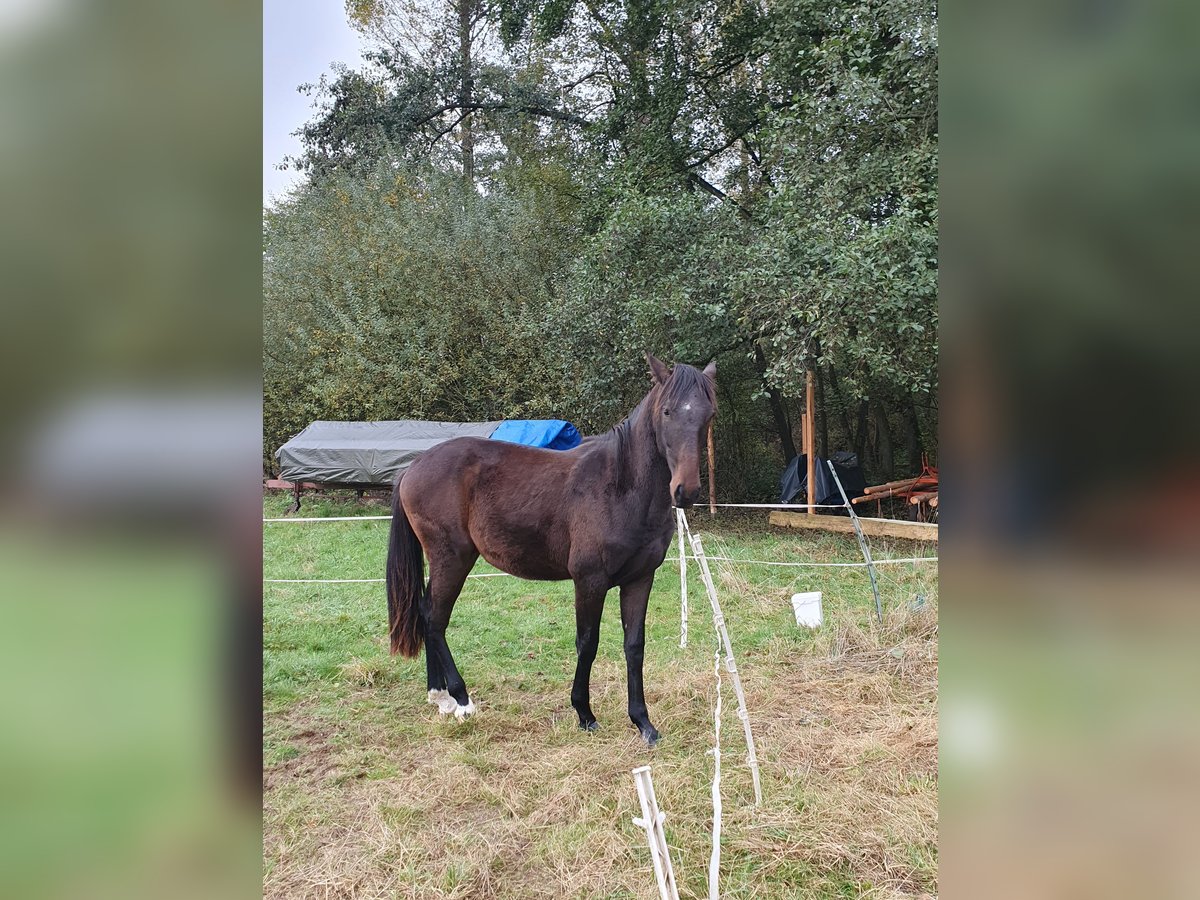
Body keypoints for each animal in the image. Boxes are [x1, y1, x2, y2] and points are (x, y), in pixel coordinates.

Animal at [388, 352, 715, 748]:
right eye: (667, 411)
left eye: (708, 415)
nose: (686, 491)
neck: (620, 486)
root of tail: (413, 467)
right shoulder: (589, 581)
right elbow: (587, 643)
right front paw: (585, 714)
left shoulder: (640, 579)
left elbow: (634, 646)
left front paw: (643, 723)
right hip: (452, 558)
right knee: (435, 618)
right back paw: (461, 700)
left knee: (425, 612)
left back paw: (440, 697)